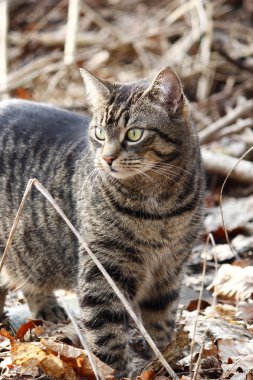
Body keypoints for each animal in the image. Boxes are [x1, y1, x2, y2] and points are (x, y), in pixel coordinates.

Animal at [0, 67, 204, 378]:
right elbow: (105, 331)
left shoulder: (170, 268)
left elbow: (161, 321)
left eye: (134, 134)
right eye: (98, 133)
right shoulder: (103, 269)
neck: (160, 207)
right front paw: (114, 370)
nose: (107, 158)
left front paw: (163, 359)